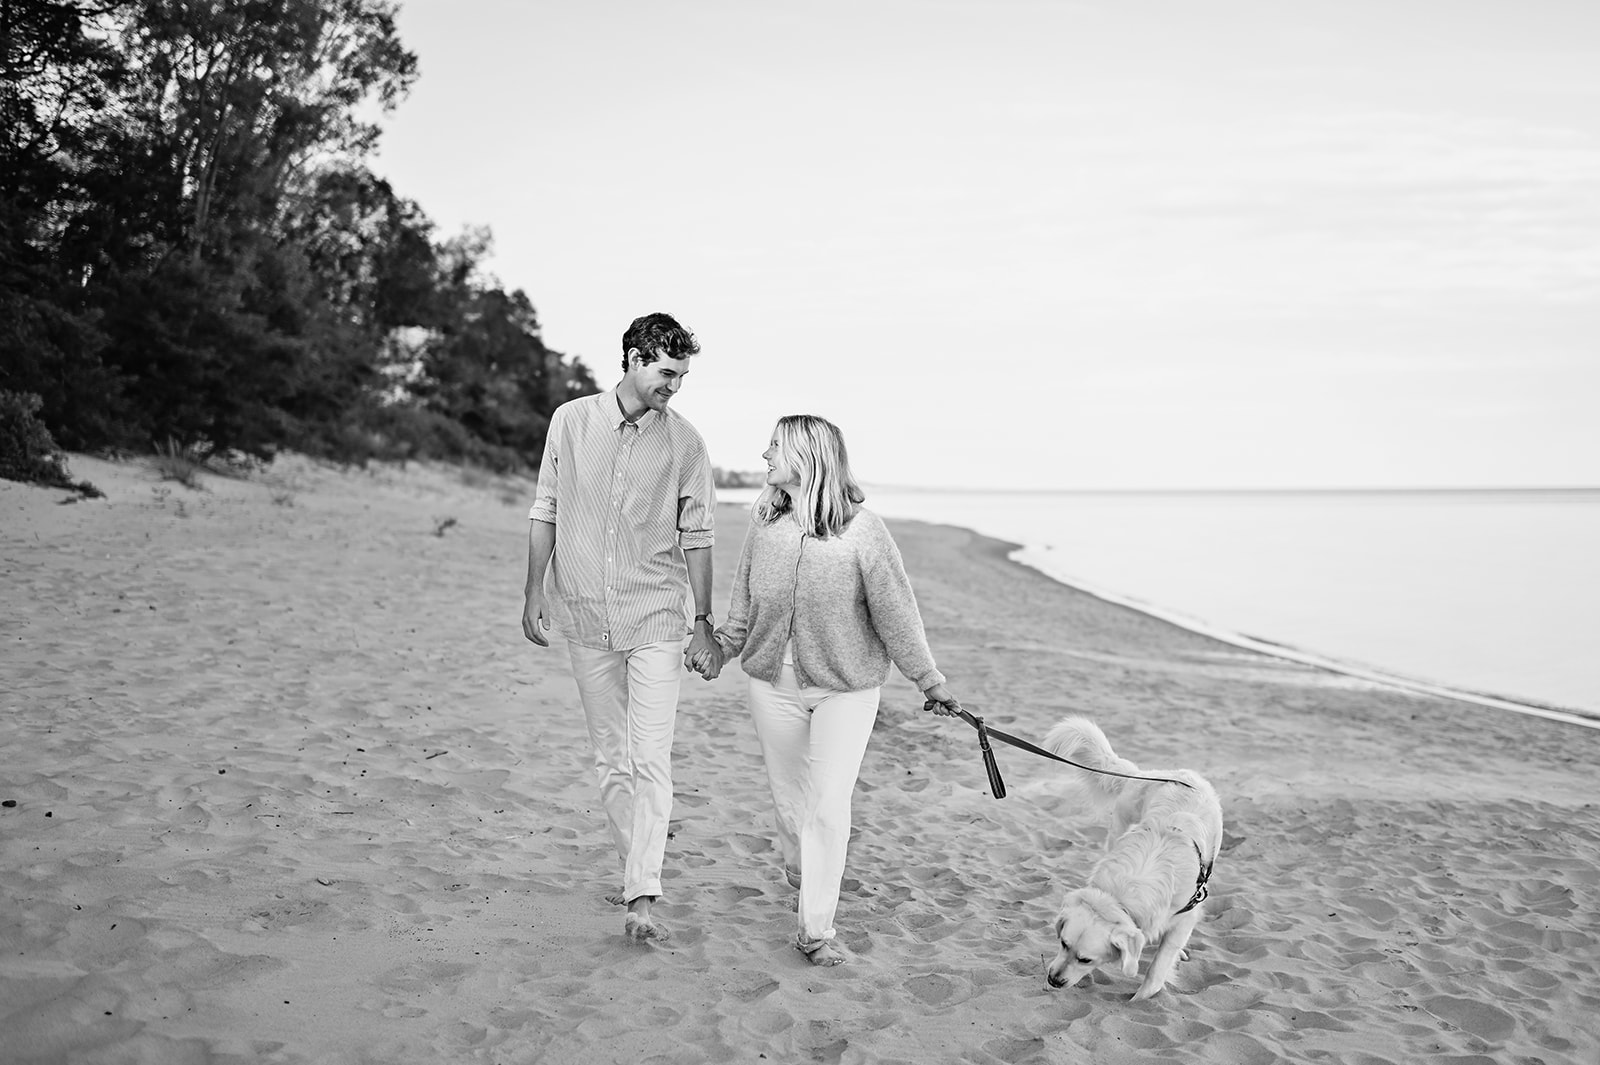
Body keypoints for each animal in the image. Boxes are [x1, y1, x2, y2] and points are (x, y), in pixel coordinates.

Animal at [1043, 713, 1216, 997]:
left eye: (1085, 959)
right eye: (1063, 943)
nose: (1053, 980)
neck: (1121, 896)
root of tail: (1150, 774)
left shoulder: (1186, 916)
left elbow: (1158, 969)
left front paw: (1139, 999)